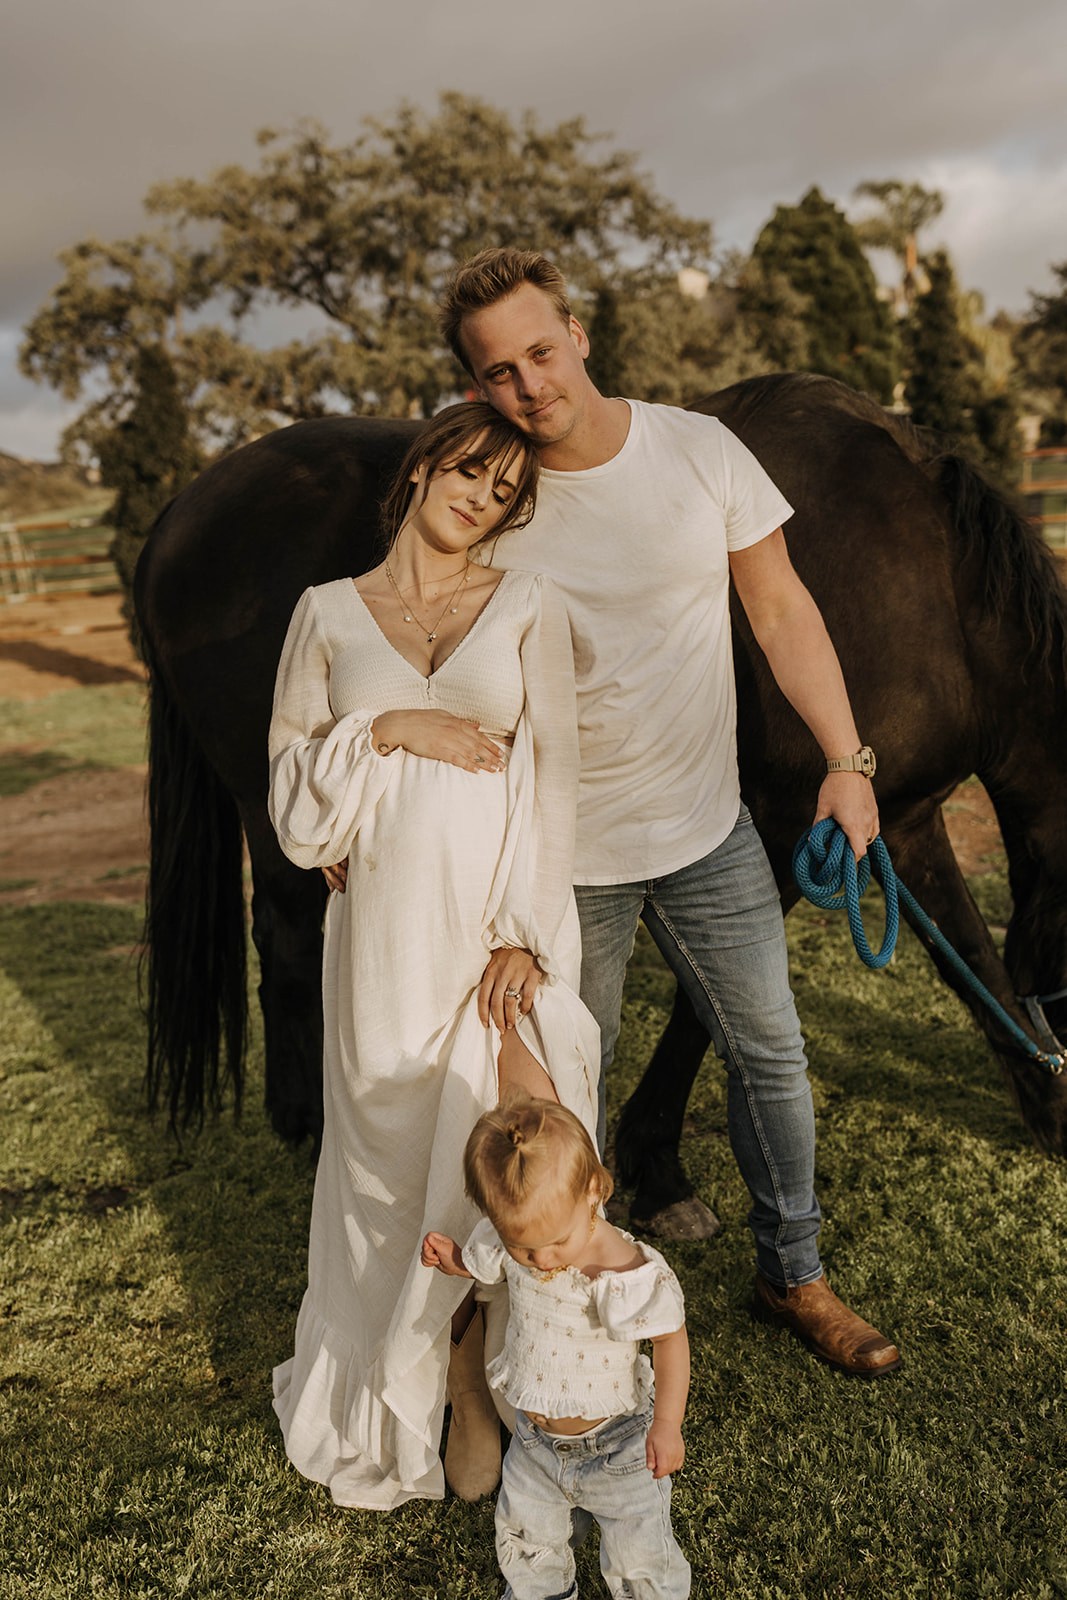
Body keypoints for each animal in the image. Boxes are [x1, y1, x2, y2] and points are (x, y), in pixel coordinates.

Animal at [133, 377, 1067, 1235]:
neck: (927, 589)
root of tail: (181, 508)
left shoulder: (891, 820)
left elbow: (970, 961)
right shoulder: (783, 829)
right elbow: (703, 1011)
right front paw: (658, 1169)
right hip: (278, 795)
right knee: (288, 936)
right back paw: (312, 1127)